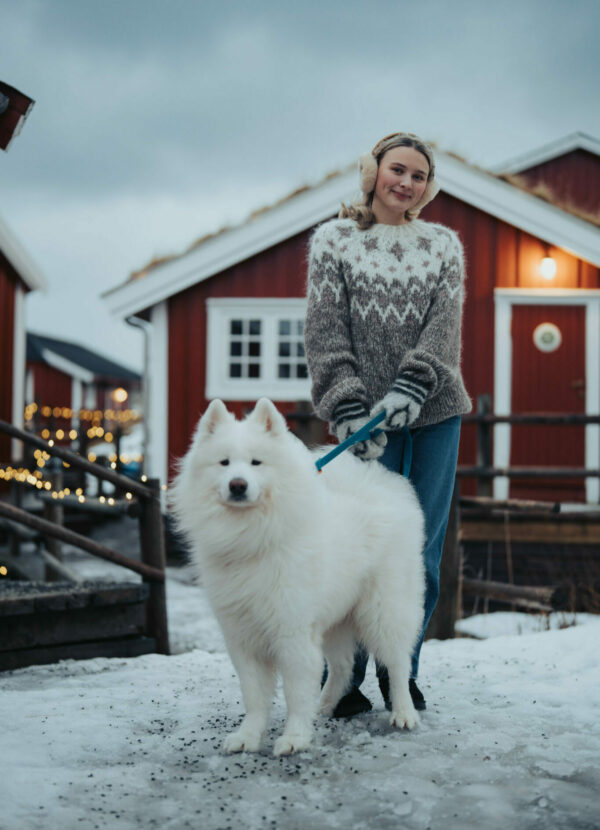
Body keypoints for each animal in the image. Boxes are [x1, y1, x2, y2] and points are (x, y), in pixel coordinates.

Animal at [169, 400, 426, 756]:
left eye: (256, 462)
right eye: (224, 463)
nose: (237, 485)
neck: (253, 537)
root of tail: (375, 486)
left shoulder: (291, 631)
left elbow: (295, 691)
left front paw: (294, 738)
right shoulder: (243, 636)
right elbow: (254, 695)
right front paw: (248, 736)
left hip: (383, 611)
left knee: (398, 662)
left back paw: (404, 713)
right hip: (335, 619)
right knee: (344, 665)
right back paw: (325, 705)